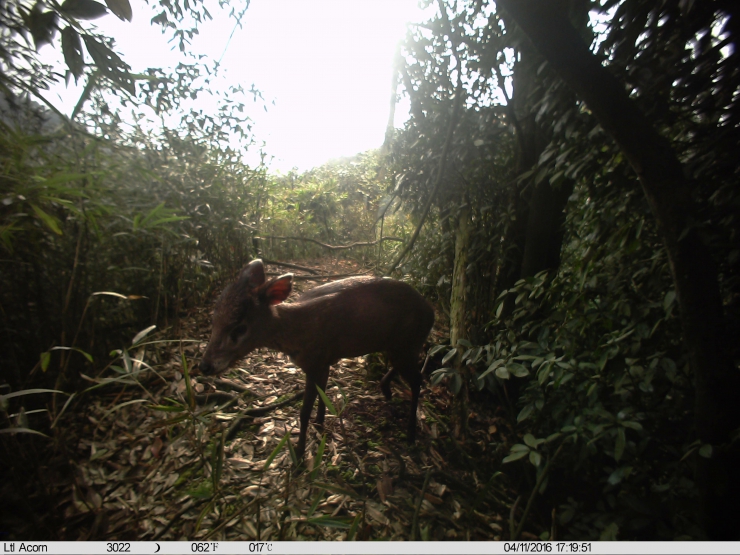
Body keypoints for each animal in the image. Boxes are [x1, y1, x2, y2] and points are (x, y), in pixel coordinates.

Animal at [199, 258, 436, 458]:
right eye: (214, 319)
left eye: (239, 328)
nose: (204, 366)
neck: (297, 332)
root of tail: (432, 313)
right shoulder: (325, 361)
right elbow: (323, 392)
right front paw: (320, 423)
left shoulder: (316, 361)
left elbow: (304, 411)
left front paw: (299, 455)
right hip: (399, 345)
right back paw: (386, 390)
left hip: (407, 341)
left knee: (417, 380)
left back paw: (411, 434)